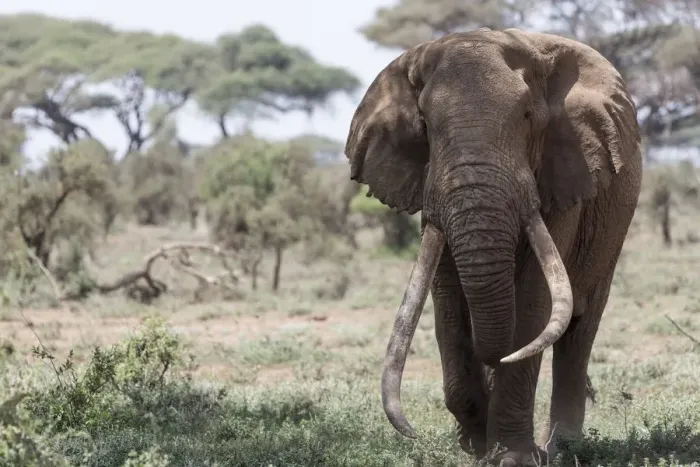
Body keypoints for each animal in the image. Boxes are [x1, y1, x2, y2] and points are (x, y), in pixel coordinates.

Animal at [343, 28, 641, 466]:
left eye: (528, 117)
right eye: (426, 125)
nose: (412, 434)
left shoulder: (562, 174)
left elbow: (534, 303)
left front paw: (513, 457)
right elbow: (448, 304)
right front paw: (475, 448)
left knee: (580, 329)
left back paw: (564, 448)